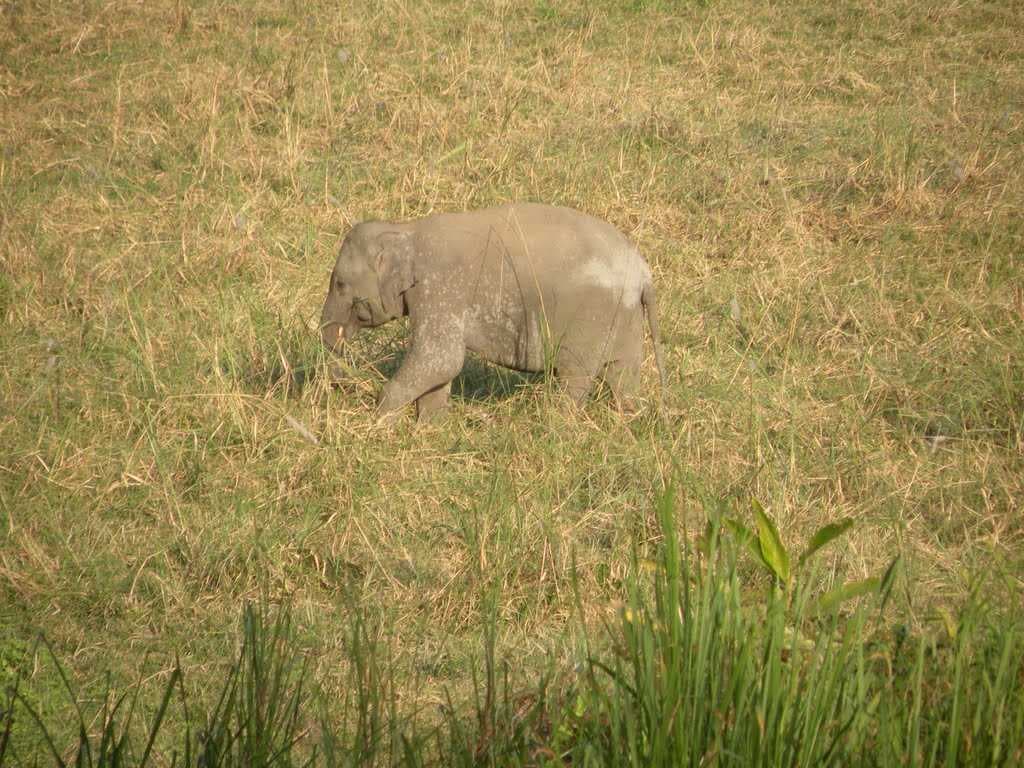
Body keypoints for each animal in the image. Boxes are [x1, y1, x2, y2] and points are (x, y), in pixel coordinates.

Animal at [319, 203, 666, 422]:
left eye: (339, 284)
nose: (338, 383)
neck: (405, 229)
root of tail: (643, 272)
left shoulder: (441, 288)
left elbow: (440, 358)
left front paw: (379, 423)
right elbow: (440, 368)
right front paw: (430, 428)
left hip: (590, 319)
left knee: (575, 379)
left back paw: (555, 427)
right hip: (624, 318)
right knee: (623, 377)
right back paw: (628, 421)